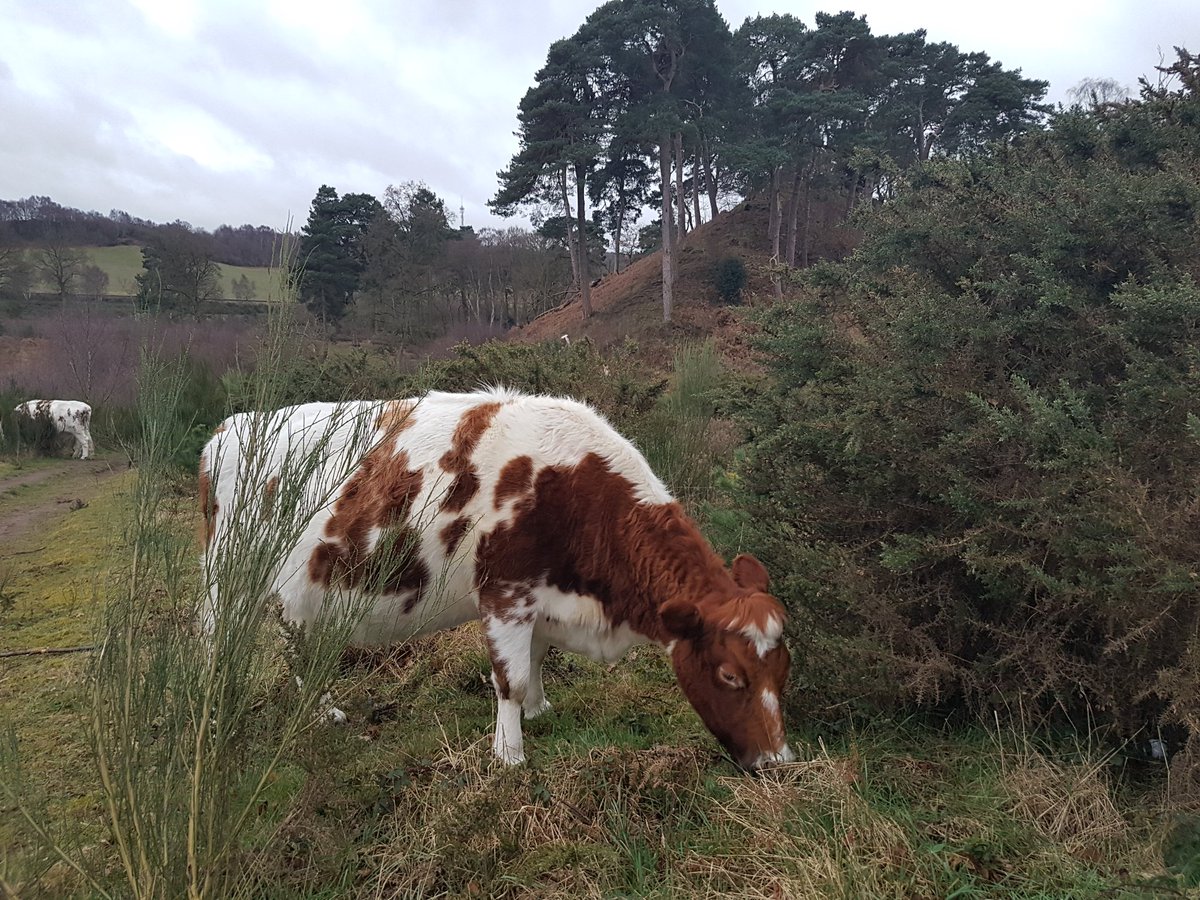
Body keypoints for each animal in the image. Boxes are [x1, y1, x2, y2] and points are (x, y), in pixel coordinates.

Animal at [200, 391, 792, 772]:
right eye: (730, 675)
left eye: (783, 670)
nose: (778, 761)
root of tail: (228, 429)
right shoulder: (505, 592)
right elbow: (510, 678)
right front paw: (510, 756)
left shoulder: (541, 600)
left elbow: (536, 661)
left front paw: (540, 710)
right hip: (225, 581)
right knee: (220, 641)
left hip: (295, 594)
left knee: (295, 643)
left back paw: (323, 711)